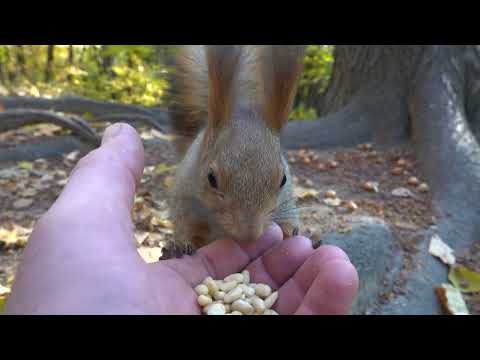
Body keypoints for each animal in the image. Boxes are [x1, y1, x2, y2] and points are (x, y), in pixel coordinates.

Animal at [165, 45, 306, 258]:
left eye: (283, 179)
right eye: (211, 178)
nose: (249, 234)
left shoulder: (287, 201)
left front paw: (291, 232)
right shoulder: (185, 201)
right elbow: (188, 229)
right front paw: (180, 246)